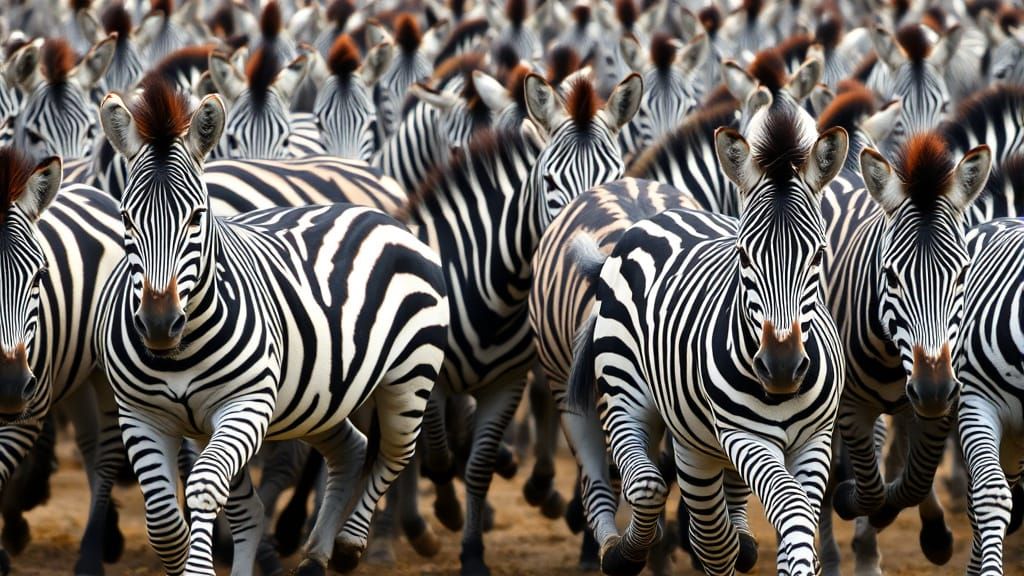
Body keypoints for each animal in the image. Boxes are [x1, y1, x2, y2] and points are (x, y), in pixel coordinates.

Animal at [0, 147, 127, 576]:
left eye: (39, 275)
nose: (8, 387)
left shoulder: (30, 411)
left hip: (104, 373)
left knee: (107, 450)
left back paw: (91, 554)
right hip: (73, 373)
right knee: (89, 443)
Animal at [95, 76, 448, 575]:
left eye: (197, 216)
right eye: (126, 217)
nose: (160, 325)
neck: (179, 354)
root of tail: (377, 212)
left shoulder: (246, 404)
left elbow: (204, 486)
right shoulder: (141, 414)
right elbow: (164, 520)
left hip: (409, 377)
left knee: (394, 454)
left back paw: (348, 544)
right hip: (318, 397)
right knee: (351, 448)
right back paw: (316, 552)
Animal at [400, 72, 642, 576]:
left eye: (616, 175)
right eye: (548, 180)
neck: (495, 292)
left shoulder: (507, 383)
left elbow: (477, 464)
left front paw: (472, 553)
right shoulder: (430, 371)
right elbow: (436, 444)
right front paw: (448, 508)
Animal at [566, 104, 848, 576]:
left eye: (819, 255)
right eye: (743, 255)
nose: (782, 366)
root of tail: (656, 216)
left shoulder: (816, 439)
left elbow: (802, 518)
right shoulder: (743, 435)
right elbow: (790, 507)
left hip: (696, 442)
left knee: (713, 529)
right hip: (634, 397)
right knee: (668, 502)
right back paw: (625, 552)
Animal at [825, 133, 992, 568]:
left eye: (963, 274)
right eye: (891, 276)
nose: (931, 388)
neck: (890, 357)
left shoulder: (943, 400)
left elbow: (917, 477)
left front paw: (931, 532)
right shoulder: (849, 407)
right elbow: (868, 486)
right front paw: (855, 501)